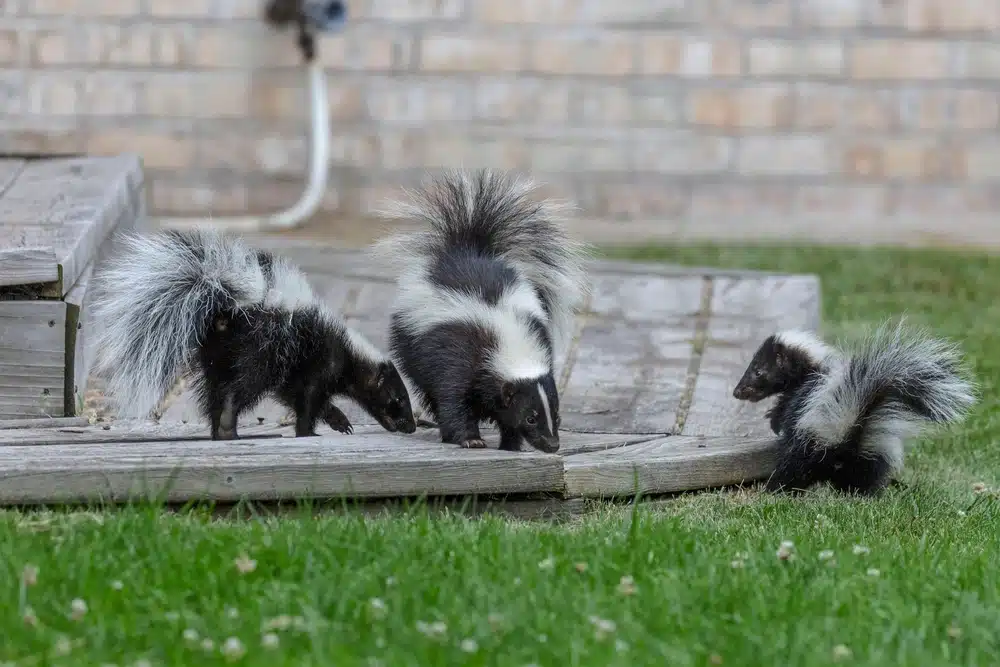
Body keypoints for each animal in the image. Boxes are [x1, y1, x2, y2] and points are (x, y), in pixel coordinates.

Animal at [87, 227, 414, 440]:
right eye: (398, 399)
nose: (410, 425)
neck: (348, 350)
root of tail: (226, 309)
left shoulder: (295, 370)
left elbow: (295, 394)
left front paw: (338, 419)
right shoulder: (318, 361)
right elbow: (309, 399)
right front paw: (308, 432)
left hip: (218, 355)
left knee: (215, 392)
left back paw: (220, 432)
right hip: (258, 349)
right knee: (239, 388)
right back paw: (228, 426)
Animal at [376, 170, 592, 456]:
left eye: (556, 416)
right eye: (530, 417)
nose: (552, 445)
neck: (506, 332)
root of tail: (468, 248)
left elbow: (503, 416)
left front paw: (511, 445)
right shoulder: (459, 359)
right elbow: (454, 401)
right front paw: (471, 439)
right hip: (410, 340)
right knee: (426, 388)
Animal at [732, 320, 972, 494]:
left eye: (758, 371)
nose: (737, 391)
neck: (813, 367)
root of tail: (847, 435)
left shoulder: (800, 395)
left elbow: (785, 411)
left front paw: (774, 422)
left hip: (806, 446)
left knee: (793, 469)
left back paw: (775, 489)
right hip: (872, 454)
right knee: (862, 479)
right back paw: (862, 494)